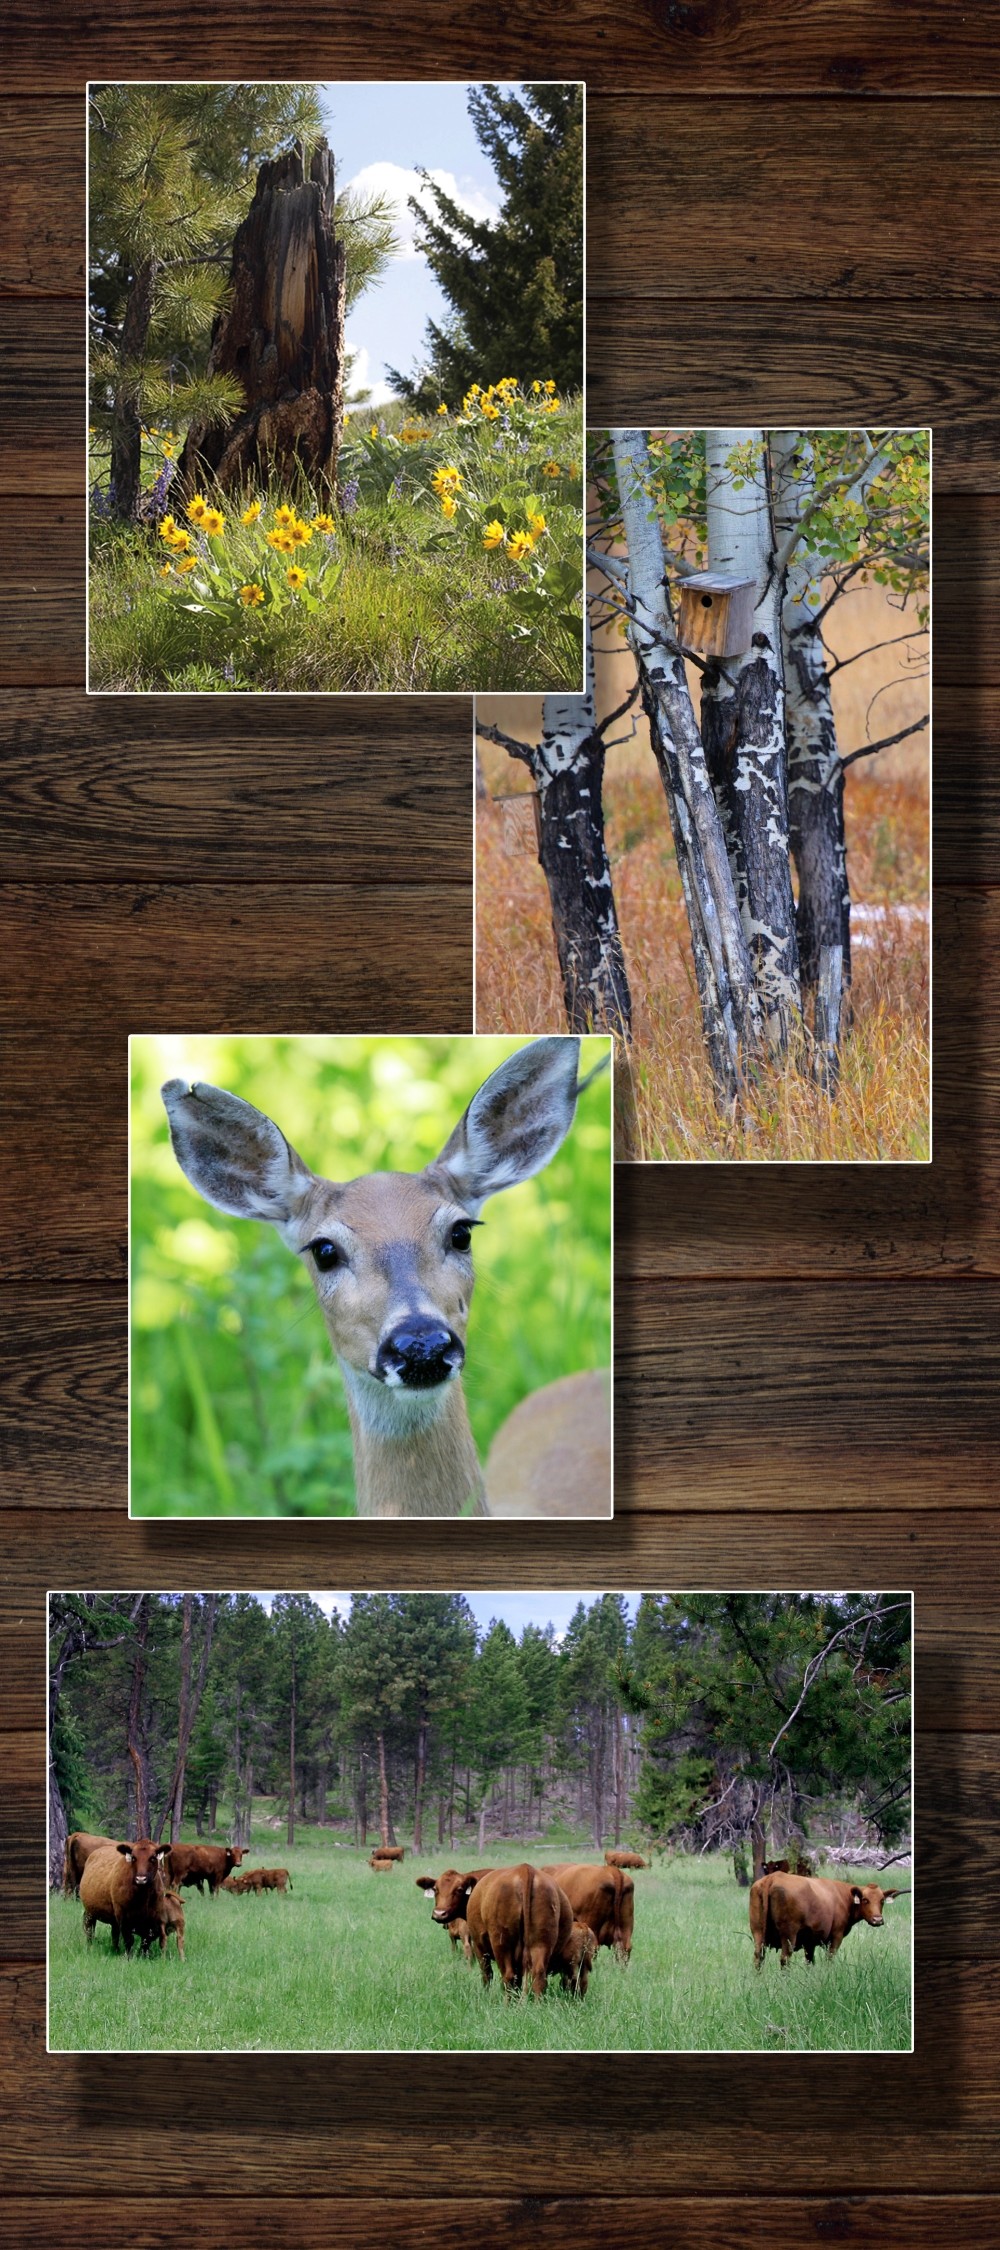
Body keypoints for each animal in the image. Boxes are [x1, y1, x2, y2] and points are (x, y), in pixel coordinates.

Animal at [747, 1863, 905, 1971]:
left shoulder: (809, 1942)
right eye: (865, 1900)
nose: (877, 1920)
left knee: (758, 1957)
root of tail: (772, 1877)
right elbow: (830, 1958)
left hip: (758, 1932)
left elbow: (810, 1961)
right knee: (785, 1959)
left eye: (882, 1900)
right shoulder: (836, 1936)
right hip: (788, 1935)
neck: (844, 1896)